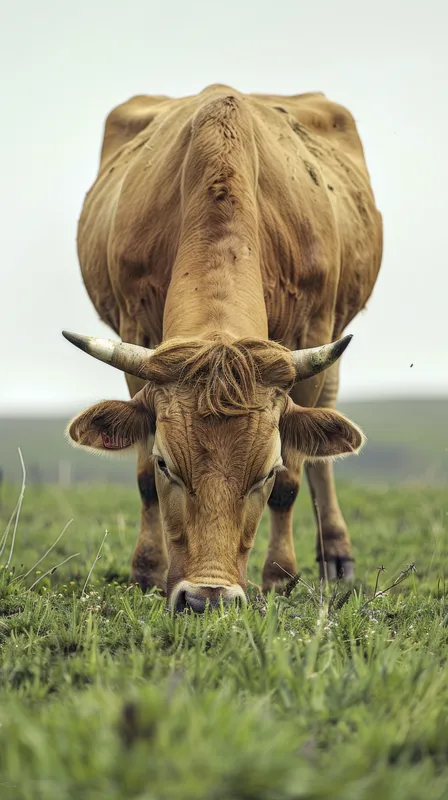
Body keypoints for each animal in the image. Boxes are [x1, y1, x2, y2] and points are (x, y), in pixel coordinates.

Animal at [64, 85, 383, 612]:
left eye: (266, 471)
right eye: (166, 463)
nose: (208, 597)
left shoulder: (312, 339)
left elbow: (294, 480)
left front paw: (280, 575)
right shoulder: (137, 336)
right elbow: (143, 481)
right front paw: (147, 571)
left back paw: (336, 554)